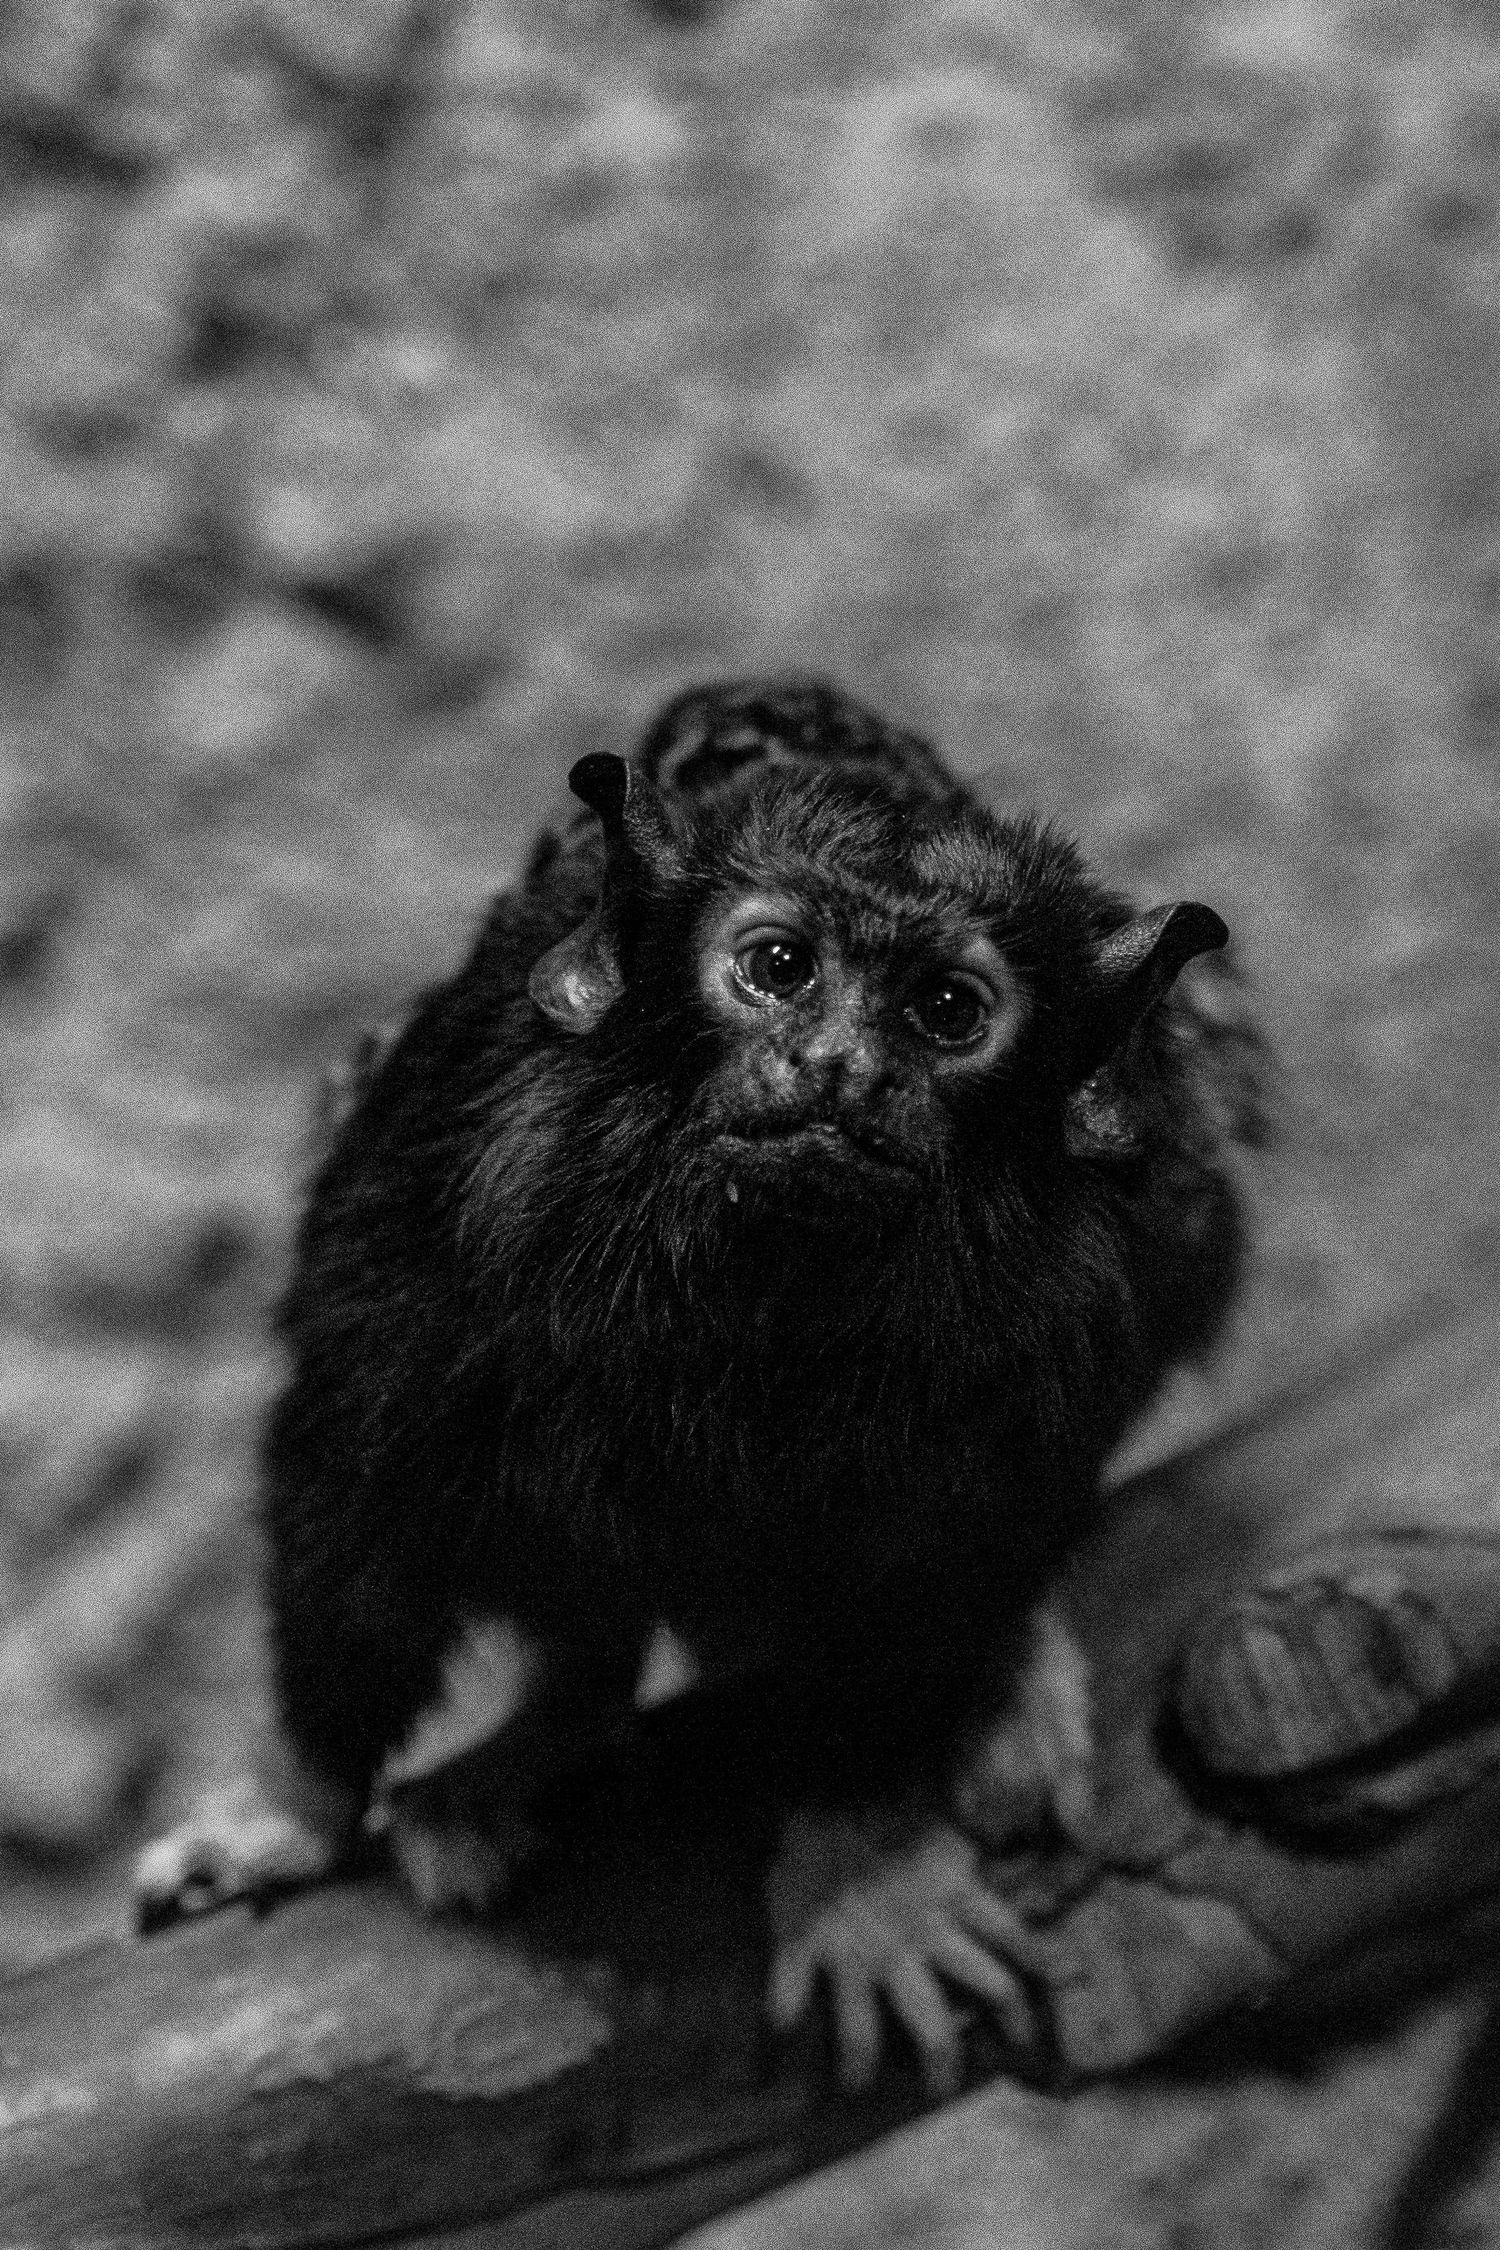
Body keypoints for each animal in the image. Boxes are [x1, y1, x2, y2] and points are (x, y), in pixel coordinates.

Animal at [135, 676, 1256, 2097]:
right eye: (778, 969)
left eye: (948, 1010)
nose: (842, 1069)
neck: (754, 1283)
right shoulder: (418, 1213)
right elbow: (353, 1513)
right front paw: (294, 1805)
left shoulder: (1066, 1318)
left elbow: (933, 1580)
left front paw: (860, 1869)